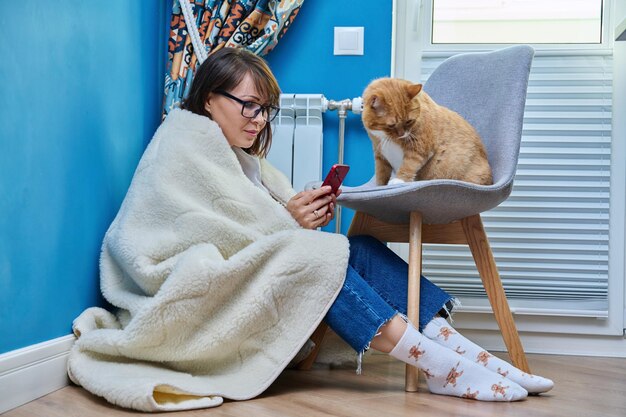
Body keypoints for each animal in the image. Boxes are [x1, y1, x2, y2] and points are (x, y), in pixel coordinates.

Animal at [360, 78, 492, 185]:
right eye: (391, 125)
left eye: (409, 121)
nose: (402, 134)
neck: (384, 137)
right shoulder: (380, 155)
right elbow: (381, 174)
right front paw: (380, 186)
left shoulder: (419, 147)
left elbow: (409, 165)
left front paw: (399, 180)